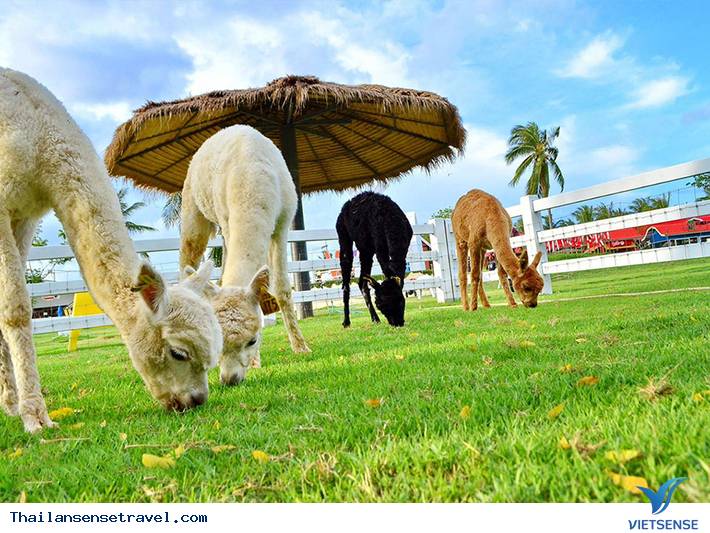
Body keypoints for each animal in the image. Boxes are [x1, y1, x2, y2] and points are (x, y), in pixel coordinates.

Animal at [0, 68, 223, 432]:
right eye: (178, 352)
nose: (195, 400)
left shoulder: (25, 213)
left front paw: (12, 405)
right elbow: (16, 308)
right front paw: (35, 416)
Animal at [179, 125, 310, 387]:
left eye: (253, 339)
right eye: (219, 343)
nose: (229, 379)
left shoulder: (283, 222)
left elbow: (282, 288)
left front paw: (301, 347)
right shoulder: (227, 219)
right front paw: (257, 362)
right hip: (192, 205)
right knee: (187, 256)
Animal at [336, 191, 413, 328]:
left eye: (400, 301)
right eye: (381, 306)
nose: (397, 323)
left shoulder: (405, 247)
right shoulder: (379, 245)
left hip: (366, 249)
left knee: (362, 282)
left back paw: (375, 319)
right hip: (344, 236)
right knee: (346, 282)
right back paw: (346, 322)